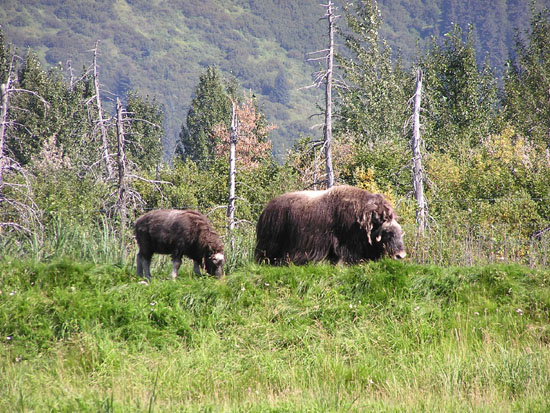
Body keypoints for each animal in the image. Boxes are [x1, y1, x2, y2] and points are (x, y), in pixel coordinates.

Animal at [256, 184, 408, 264]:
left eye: (400, 232)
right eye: (388, 233)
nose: (401, 256)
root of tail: (266, 210)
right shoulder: (347, 244)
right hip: (270, 243)